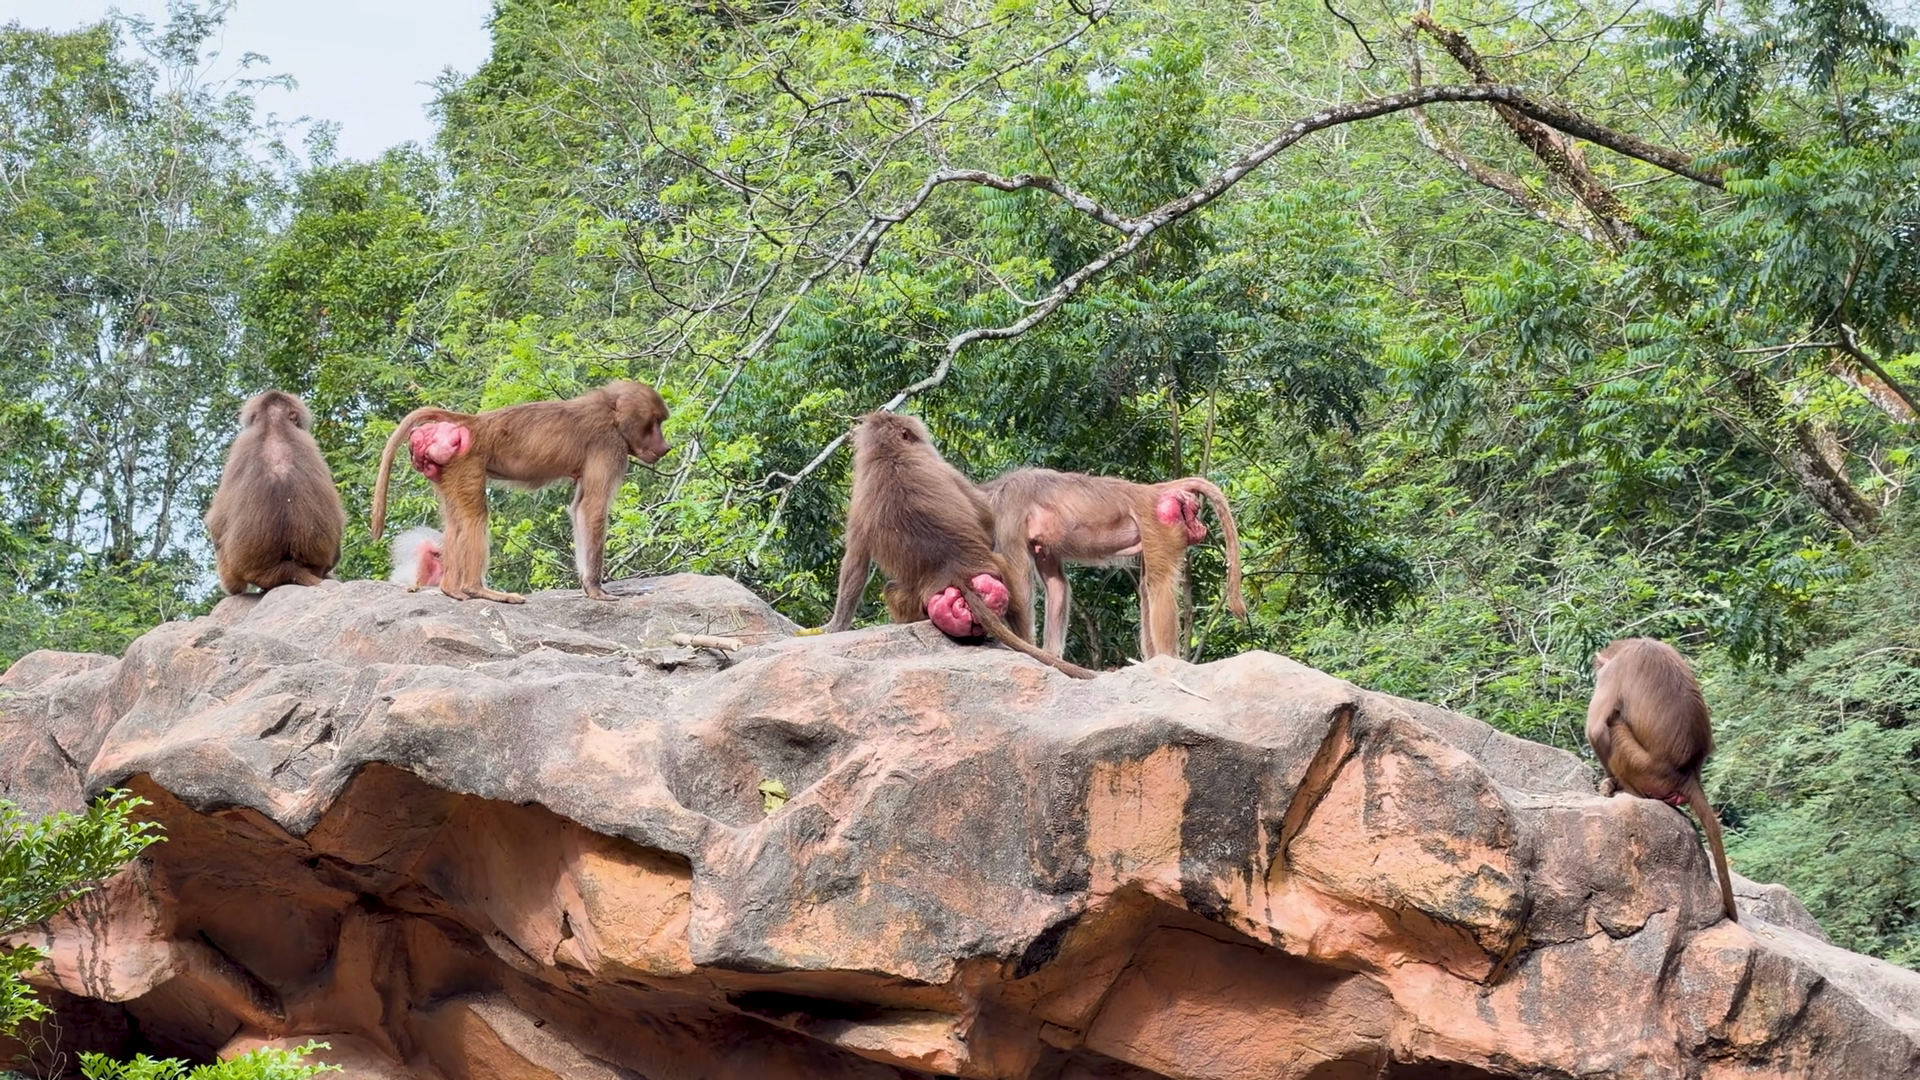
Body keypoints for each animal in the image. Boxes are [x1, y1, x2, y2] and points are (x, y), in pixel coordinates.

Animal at [369, 380, 671, 604]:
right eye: (655, 423)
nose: (666, 447)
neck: (611, 412)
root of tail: (474, 423)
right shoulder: (610, 446)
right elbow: (592, 508)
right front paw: (596, 589)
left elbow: (579, 507)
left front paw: (588, 586)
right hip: (466, 461)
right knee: (475, 518)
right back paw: (476, 589)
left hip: (448, 468)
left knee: (456, 522)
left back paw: (451, 590)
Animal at [980, 468, 1246, 660]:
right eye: (1193, 511)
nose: (1199, 526)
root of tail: (1150, 491)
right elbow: (1056, 585)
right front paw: (1050, 656)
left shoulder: (1008, 515)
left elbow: (1019, 585)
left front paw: (1024, 647)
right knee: (1148, 587)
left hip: (1158, 520)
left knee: (1158, 585)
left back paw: (1167, 660)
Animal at [1586, 637, 1739, 923]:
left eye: (1598, 672)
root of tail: (1689, 774)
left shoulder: (1614, 672)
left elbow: (1596, 729)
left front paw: (1610, 782)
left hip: (1643, 768)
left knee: (1615, 723)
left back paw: (1627, 790)